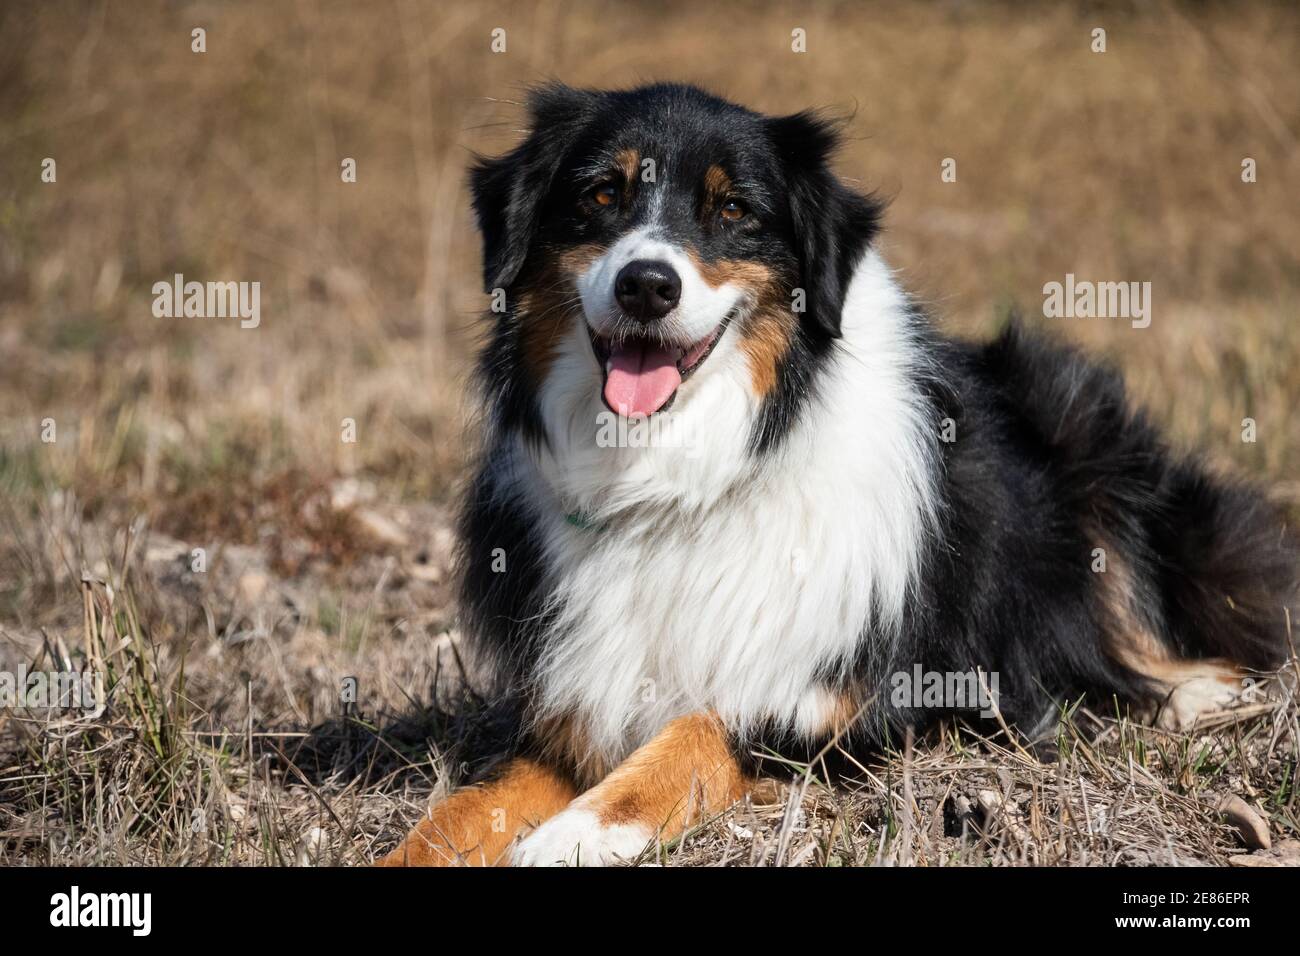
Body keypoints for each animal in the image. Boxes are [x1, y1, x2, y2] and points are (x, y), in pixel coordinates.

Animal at [379, 85, 1300, 868]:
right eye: (601, 194)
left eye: (734, 210)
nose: (646, 284)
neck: (679, 477)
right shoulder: (571, 710)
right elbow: (461, 808)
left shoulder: (845, 705)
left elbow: (690, 740)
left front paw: (574, 834)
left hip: (1088, 441)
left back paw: (1200, 698)